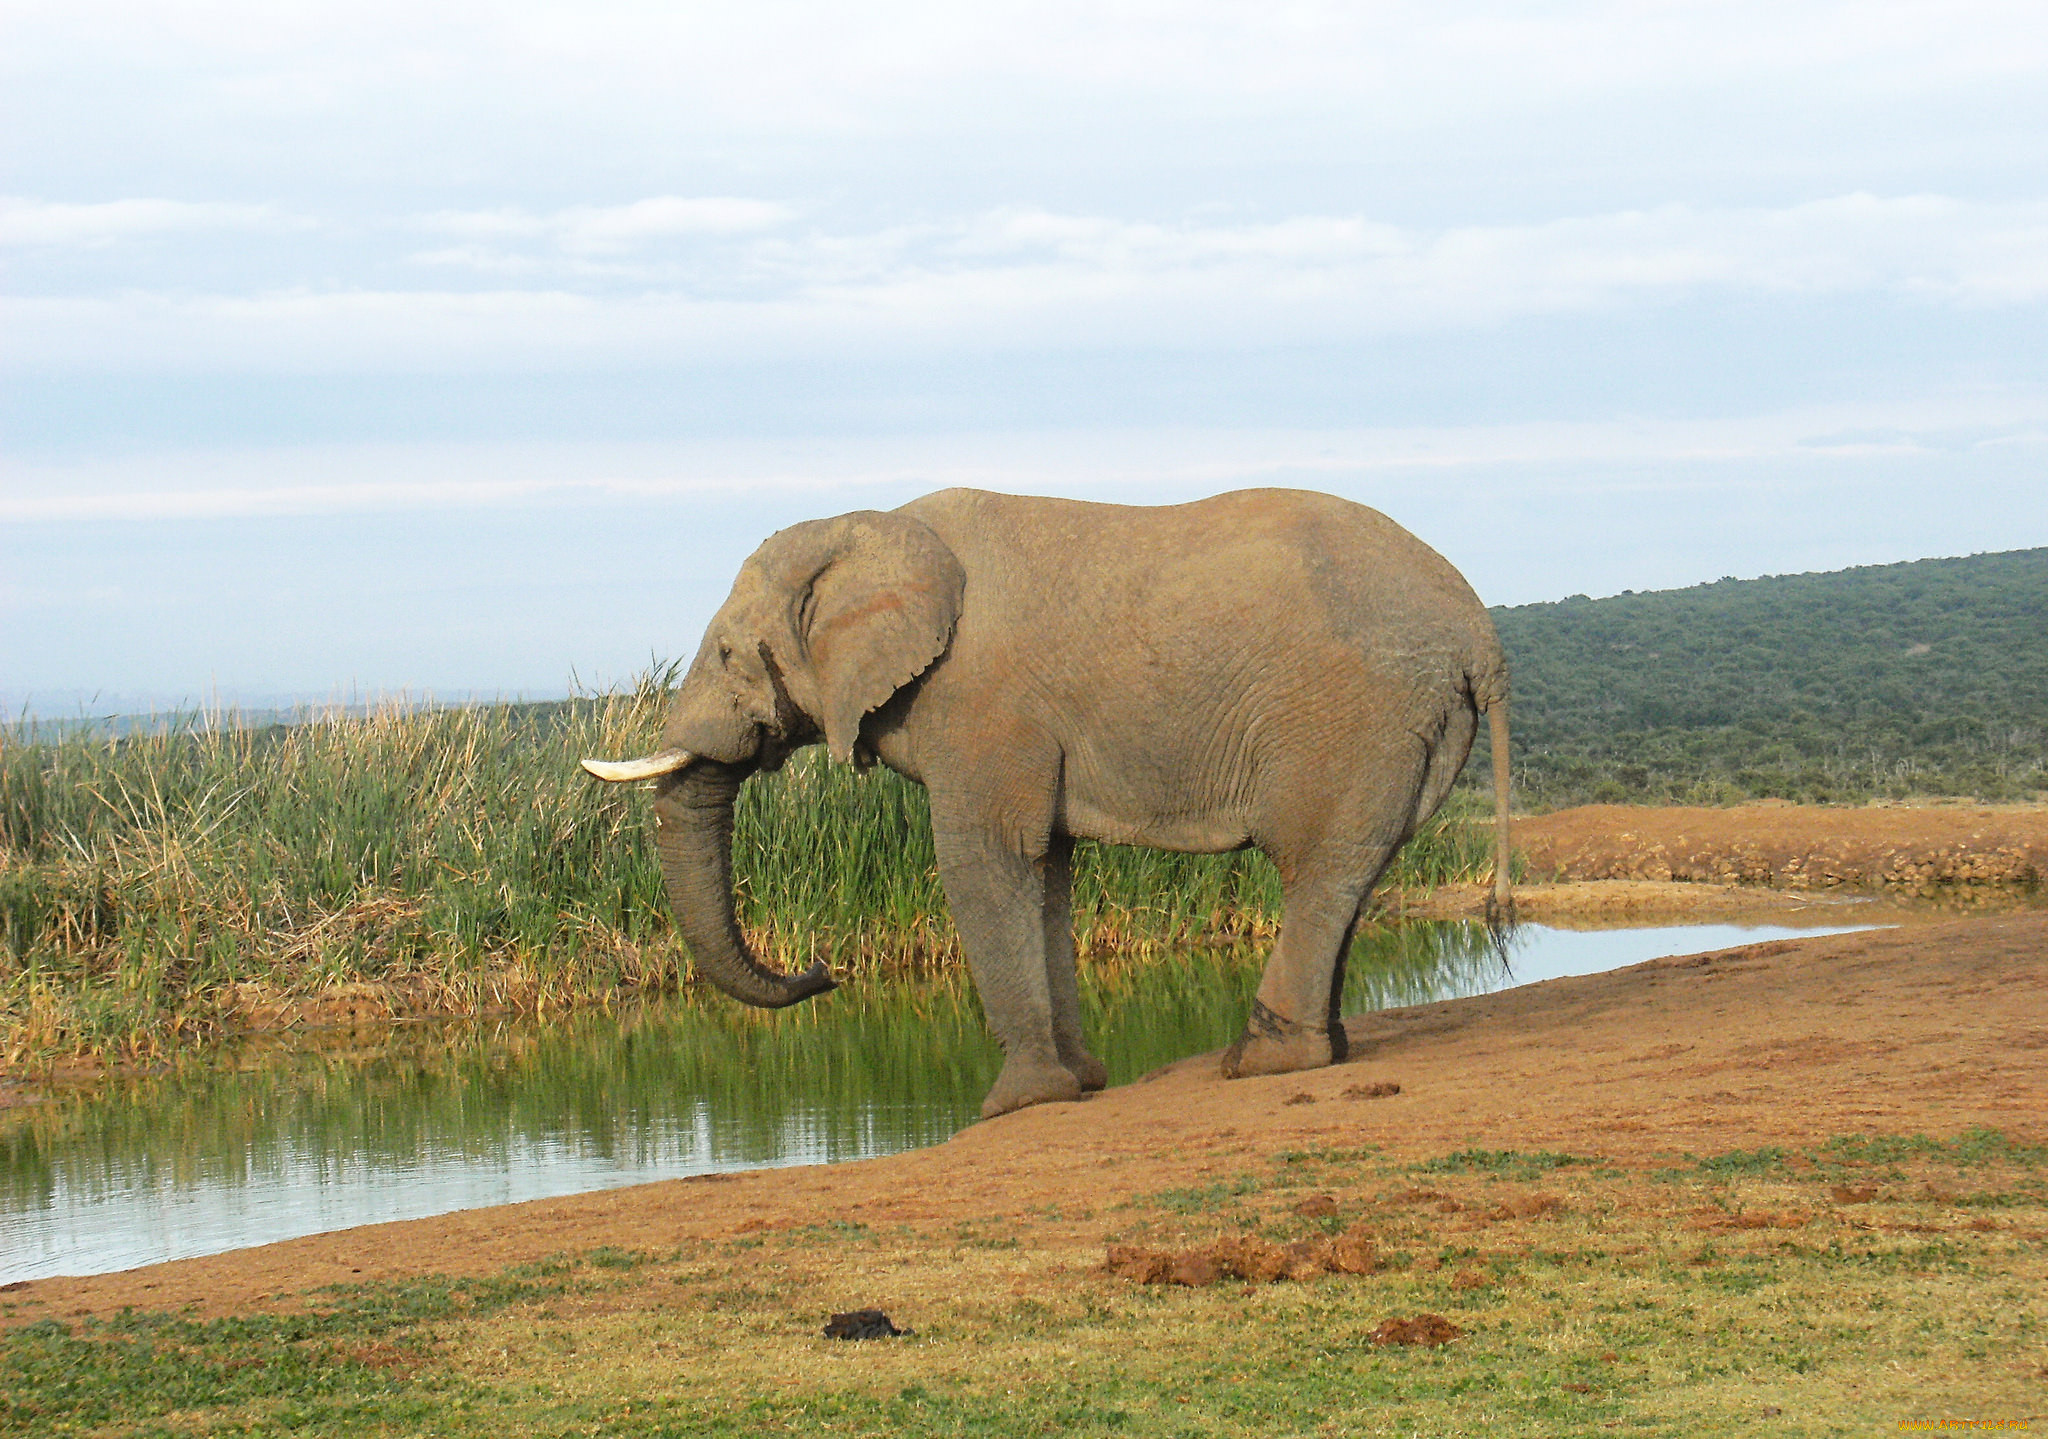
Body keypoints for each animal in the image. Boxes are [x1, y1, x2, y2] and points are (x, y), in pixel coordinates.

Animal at [585, 489, 1515, 1121]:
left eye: (729, 653)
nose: (824, 970)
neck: (874, 525)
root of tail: (1481, 632)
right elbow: (1048, 869)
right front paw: (1080, 1084)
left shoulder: (980, 704)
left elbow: (984, 857)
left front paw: (1012, 1104)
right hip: (1403, 728)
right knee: (1351, 869)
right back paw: (1319, 1051)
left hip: (1356, 716)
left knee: (1316, 865)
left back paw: (1260, 1063)